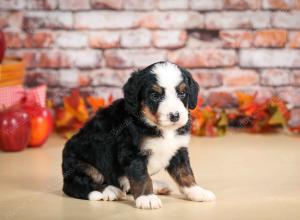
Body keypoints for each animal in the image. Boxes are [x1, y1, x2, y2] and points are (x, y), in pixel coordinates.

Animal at [61, 61, 216, 209]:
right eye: (155, 95)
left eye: (182, 93)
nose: (175, 116)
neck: (158, 127)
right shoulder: (132, 152)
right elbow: (141, 176)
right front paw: (147, 198)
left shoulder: (178, 149)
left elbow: (185, 172)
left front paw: (197, 191)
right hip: (81, 165)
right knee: (75, 185)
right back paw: (108, 191)